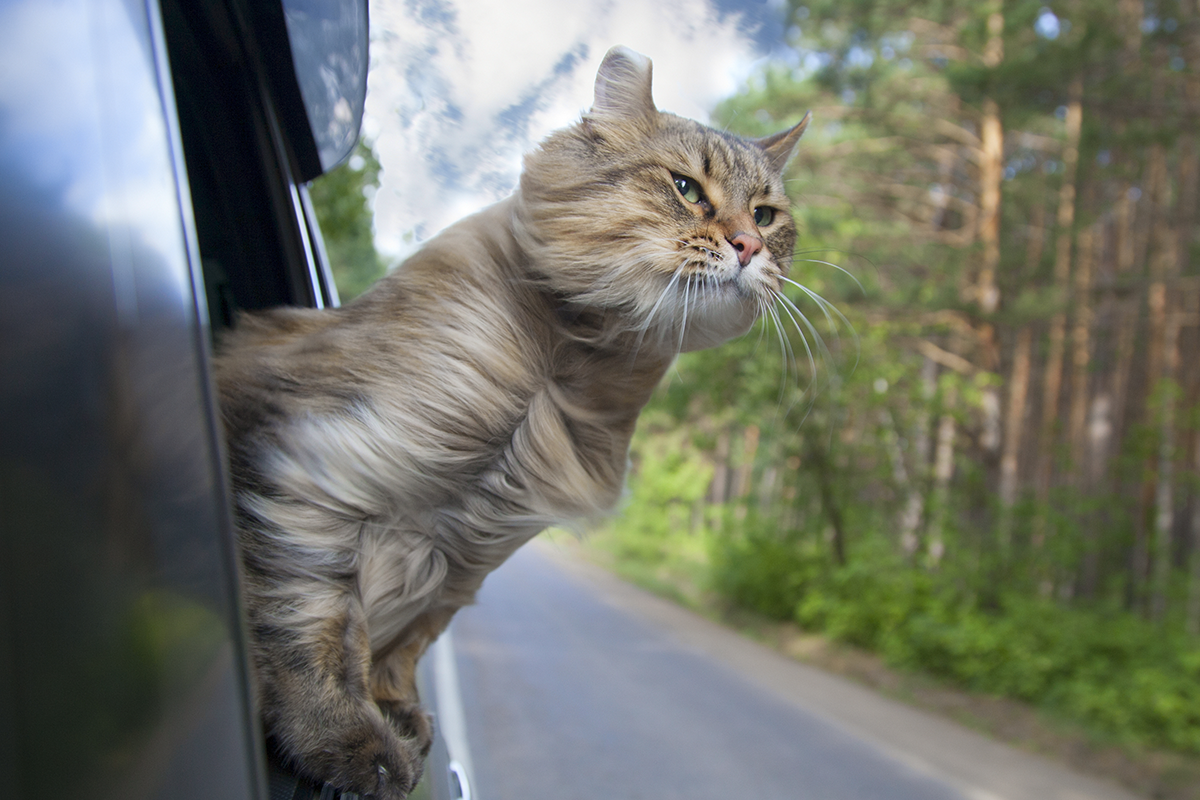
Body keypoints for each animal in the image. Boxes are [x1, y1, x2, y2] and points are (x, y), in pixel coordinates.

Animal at [216, 45, 811, 800]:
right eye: (686, 188)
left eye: (766, 214)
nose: (746, 246)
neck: (559, 372)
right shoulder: (313, 470)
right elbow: (314, 625)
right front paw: (353, 742)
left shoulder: (471, 552)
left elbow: (406, 642)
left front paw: (396, 711)